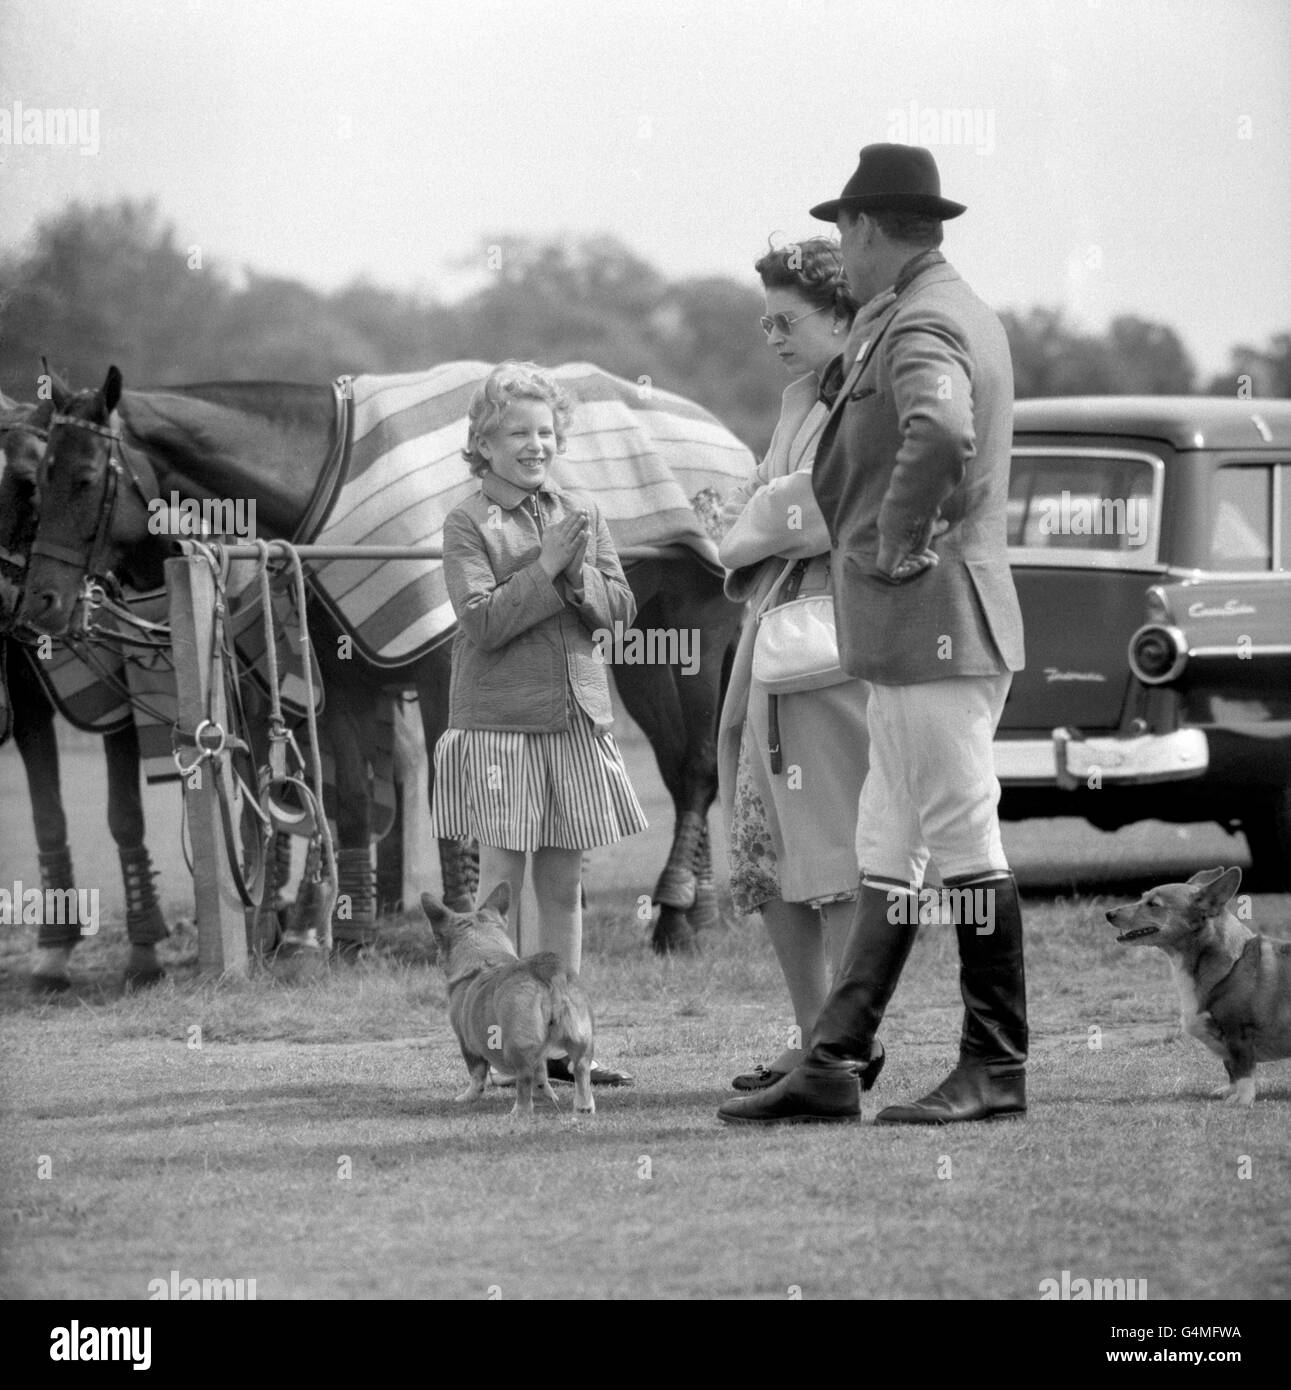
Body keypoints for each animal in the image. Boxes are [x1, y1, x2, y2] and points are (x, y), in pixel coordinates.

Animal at [0, 397, 170, 995]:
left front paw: (145, 952)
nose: (28, 602)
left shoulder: (120, 704)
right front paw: (53, 949)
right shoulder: (26, 699)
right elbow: (47, 815)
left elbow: (125, 815)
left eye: (26, 482)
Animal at [20, 364, 744, 956]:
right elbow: (350, 804)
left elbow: (449, 795)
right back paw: (694, 911)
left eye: (83, 478)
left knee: (697, 770)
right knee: (678, 768)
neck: (324, 475)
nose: (39, 602)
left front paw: (457, 913)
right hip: (638, 654)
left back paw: (675, 911)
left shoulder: (438, 668)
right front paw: (348, 932)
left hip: (699, 639)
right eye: (38, 482)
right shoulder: (346, 680)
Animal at [419, 889, 597, 1117]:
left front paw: (467, 1097)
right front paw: (547, 1096)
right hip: (580, 1039)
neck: (485, 959)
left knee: (524, 1077)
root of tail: (548, 971)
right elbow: (542, 1076)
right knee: (580, 1069)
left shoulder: (466, 1043)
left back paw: (520, 1110)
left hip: (518, 1045)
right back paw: (584, 1106)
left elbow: (476, 1075)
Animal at [1100, 867, 1289, 1106]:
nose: (1108, 914)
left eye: (1153, 904)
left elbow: (1243, 1072)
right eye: (1142, 897)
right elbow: (1230, 1069)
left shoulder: (1239, 1034)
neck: (1231, 963)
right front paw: (1229, 1092)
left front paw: (1241, 1100)